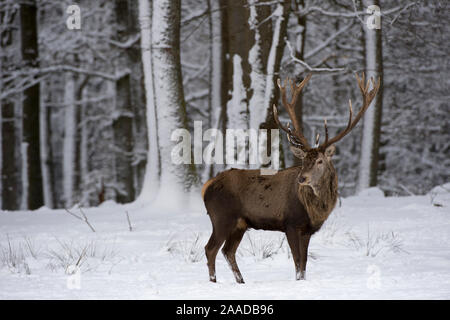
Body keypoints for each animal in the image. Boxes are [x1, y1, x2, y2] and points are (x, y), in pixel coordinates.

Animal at [202, 72, 382, 282]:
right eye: (303, 160)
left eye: (320, 161)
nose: (302, 179)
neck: (315, 210)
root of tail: (207, 186)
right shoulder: (291, 224)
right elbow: (297, 263)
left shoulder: (307, 230)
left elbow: (304, 264)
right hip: (221, 217)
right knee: (211, 249)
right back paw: (214, 282)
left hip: (240, 224)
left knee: (228, 251)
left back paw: (241, 282)